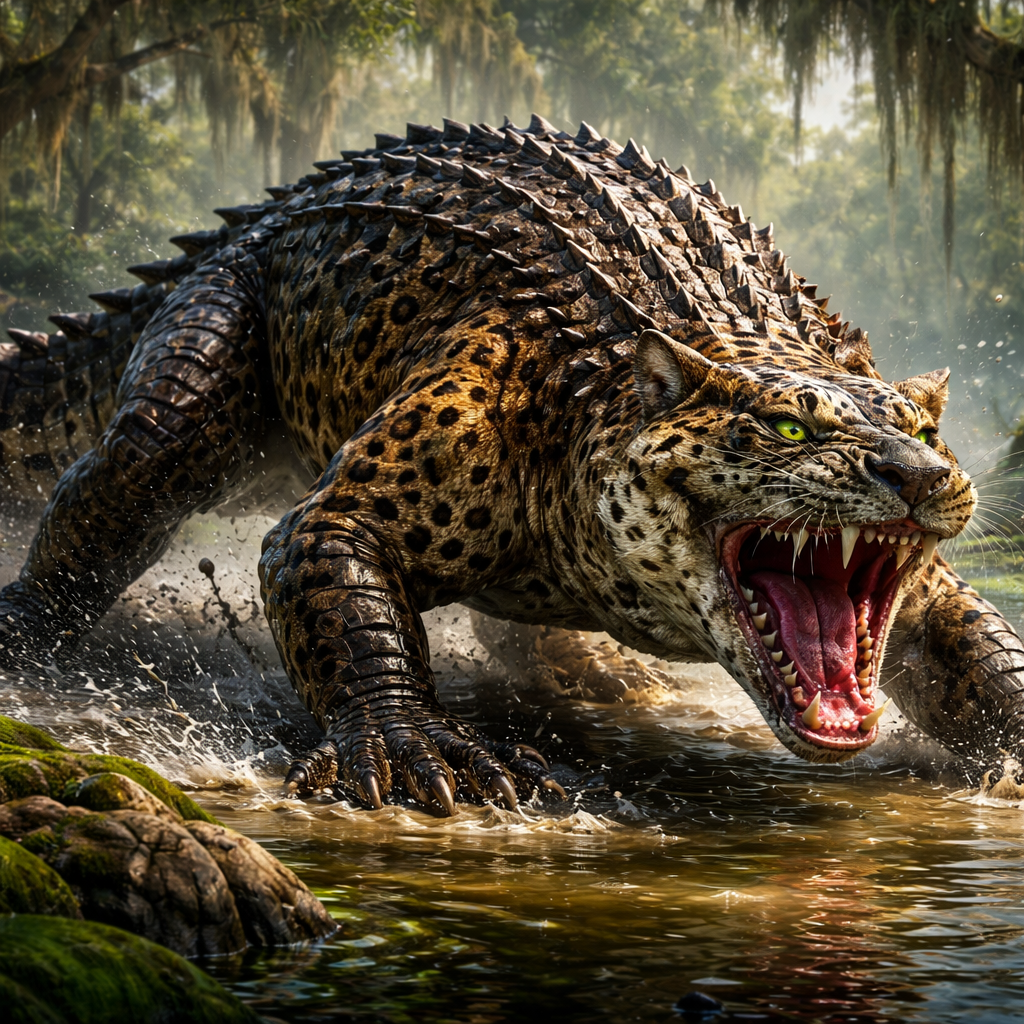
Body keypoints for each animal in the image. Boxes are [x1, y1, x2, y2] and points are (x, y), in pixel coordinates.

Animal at [1, 113, 1022, 816]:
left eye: (924, 430)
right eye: (787, 427)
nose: (926, 479)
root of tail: (269, 202)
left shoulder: (925, 591)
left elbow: (980, 645)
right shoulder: (375, 480)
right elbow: (336, 568)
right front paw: (414, 743)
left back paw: (595, 672)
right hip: (208, 332)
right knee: (128, 470)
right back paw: (25, 636)